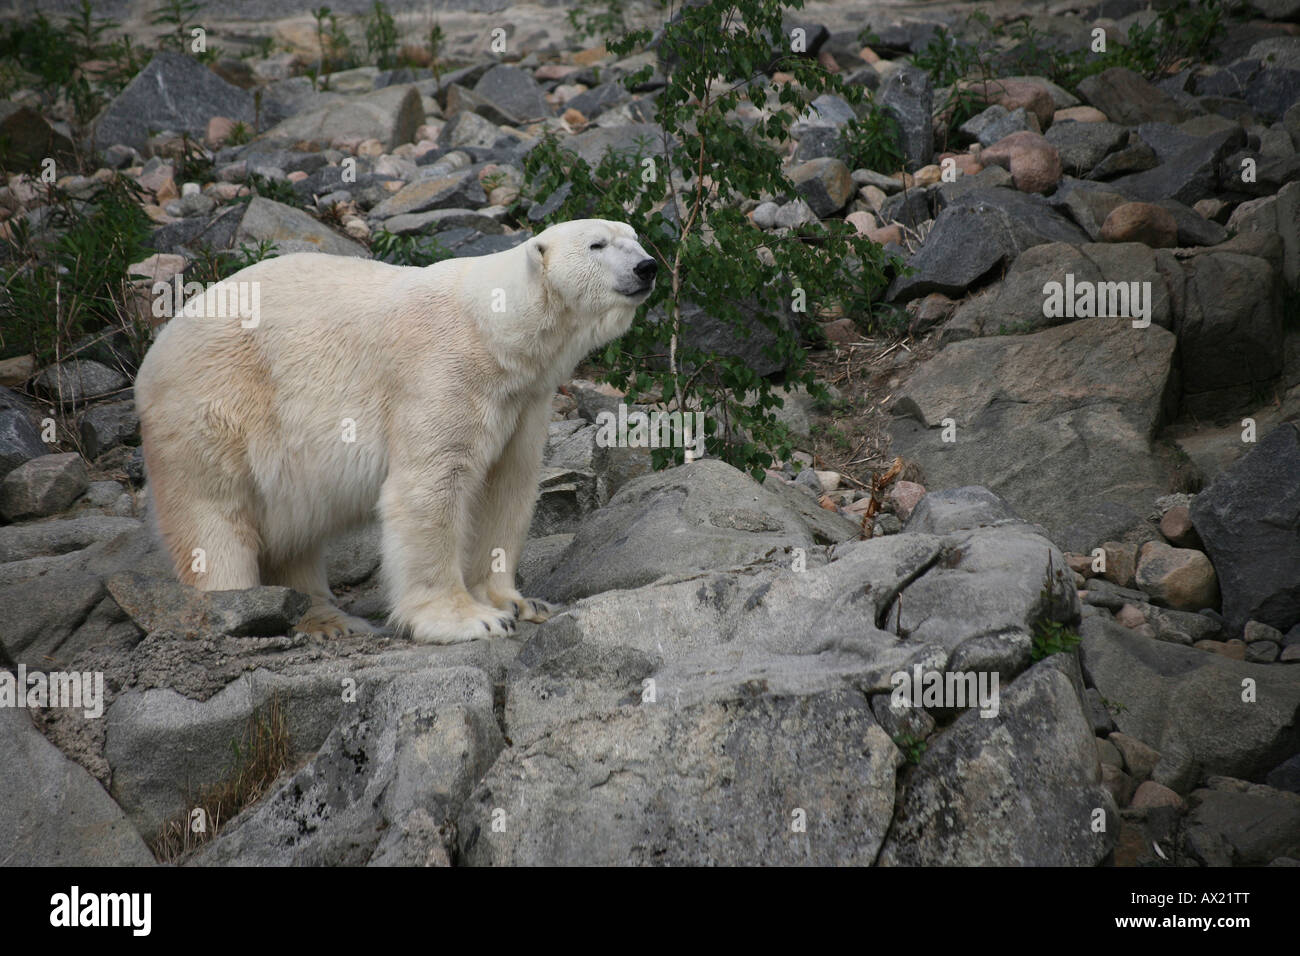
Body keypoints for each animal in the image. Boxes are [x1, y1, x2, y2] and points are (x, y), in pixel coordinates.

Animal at [137, 221, 655, 642]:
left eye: (635, 237)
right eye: (597, 244)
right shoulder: (442, 373)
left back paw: (328, 619)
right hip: (215, 406)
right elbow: (430, 486)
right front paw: (468, 620)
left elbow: (506, 487)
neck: (495, 331)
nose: (648, 266)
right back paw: (238, 607)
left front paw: (518, 602)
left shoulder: (524, 400)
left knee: (295, 531)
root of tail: (152, 355)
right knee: (213, 512)